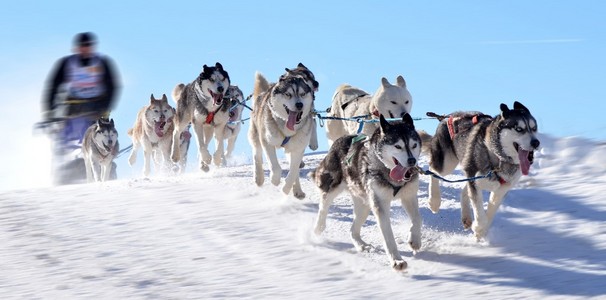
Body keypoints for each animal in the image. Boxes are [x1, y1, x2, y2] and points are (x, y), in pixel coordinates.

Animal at [248, 69, 316, 198]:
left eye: (302, 94)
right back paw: (259, 177)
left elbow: (293, 172)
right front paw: (274, 180)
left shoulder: (298, 149)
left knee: (295, 171)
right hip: (256, 135)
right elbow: (275, 167)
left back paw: (297, 190)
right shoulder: (267, 142)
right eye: (288, 94)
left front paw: (286, 188)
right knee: (256, 155)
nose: (299, 105)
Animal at [314, 113, 422, 270]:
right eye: (398, 146)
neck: (388, 171)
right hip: (332, 189)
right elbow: (388, 236)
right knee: (323, 208)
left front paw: (415, 240)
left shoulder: (409, 196)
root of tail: (340, 140)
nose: (412, 161)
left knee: (353, 230)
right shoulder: (380, 205)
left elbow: (417, 219)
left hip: (364, 205)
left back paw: (361, 245)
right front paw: (396, 260)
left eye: (414, 145)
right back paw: (318, 228)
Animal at [420, 102, 544, 240]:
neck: (498, 157)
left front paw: (481, 232)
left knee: (463, 190)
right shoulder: (475, 180)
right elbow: (479, 208)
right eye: (519, 129)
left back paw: (466, 216)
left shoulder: (501, 189)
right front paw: (479, 227)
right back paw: (434, 201)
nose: (536, 142)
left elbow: (490, 211)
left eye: (534, 128)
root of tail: (447, 116)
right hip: (448, 163)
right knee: (433, 170)